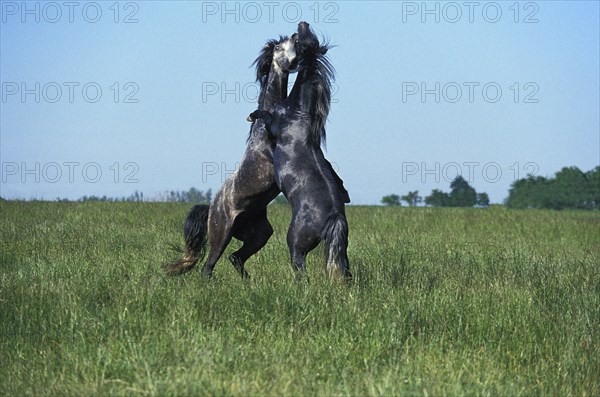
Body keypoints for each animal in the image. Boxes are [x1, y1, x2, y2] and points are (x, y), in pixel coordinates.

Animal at [164, 34, 298, 278]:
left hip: (259, 234)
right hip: (221, 234)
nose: (295, 36)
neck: (264, 129)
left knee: (235, 257)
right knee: (208, 266)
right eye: (278, 47)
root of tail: (210, 209)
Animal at [248, 21, 352, 280]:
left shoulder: (275, 125)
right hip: (341, 250)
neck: (298, 113)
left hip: (295, 240)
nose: (301, 25)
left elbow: (264, 115)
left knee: (299, 266)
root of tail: (334, 217)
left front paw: (252, 115)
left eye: (302, 40)